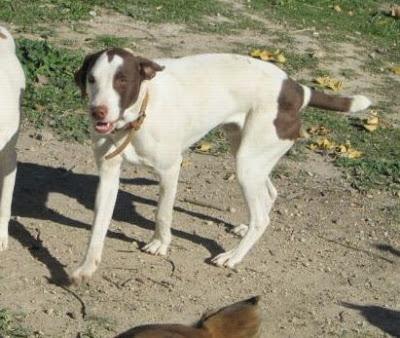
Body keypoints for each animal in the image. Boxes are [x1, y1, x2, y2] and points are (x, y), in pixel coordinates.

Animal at [71, 48, 368, 284]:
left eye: (122, 81)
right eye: (92, 79)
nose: (97, 111)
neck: (137, 117)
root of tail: (295, 88)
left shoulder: (170, 170)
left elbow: (163, 214)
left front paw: (160, 244)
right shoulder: (108, 175)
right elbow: (97, 227)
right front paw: (86, 267)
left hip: (247, 164)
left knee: (262, 217)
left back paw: (233, 256)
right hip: (249, 154)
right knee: (268, 194)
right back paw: (245, 228)